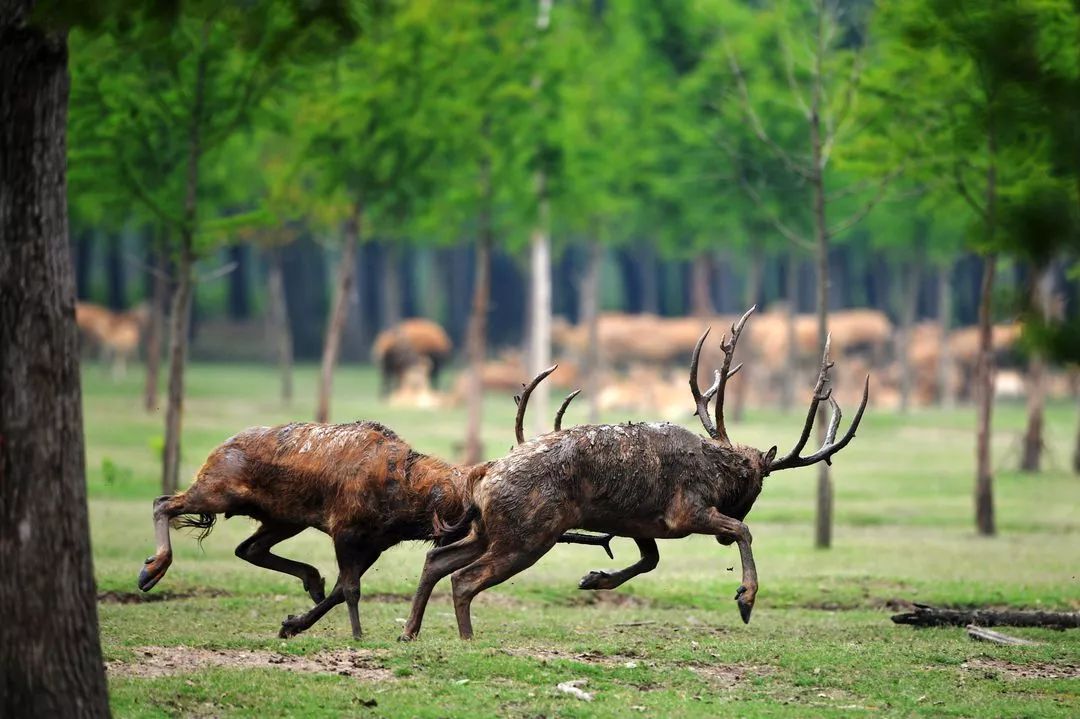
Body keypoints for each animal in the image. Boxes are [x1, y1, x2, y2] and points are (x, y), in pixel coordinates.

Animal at [141, 414, 617, 639]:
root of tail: (218, 449)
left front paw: (294, 623)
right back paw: (150, 570)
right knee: (164, 501)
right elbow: (350, 588)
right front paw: (356, 634)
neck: (405, 505)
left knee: (248, 548)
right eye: (475, 503)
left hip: (283, 518)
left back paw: (310, 580)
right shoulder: (346, 528)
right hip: (218, 491)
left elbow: (340, 589)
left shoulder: (375, 543)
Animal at [399, 304, 868, 639]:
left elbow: (650, 560)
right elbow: (741, 530)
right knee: (463, 579)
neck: (716, 470)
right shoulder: (686, 512)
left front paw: (594, 578)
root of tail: (481, 476)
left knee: (436, 558)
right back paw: (466, 638)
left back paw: (410, 631)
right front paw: (746, 598)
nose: (717, 540)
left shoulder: (641, 523)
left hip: (489, 530)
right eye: (759, 482)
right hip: (528, 534)